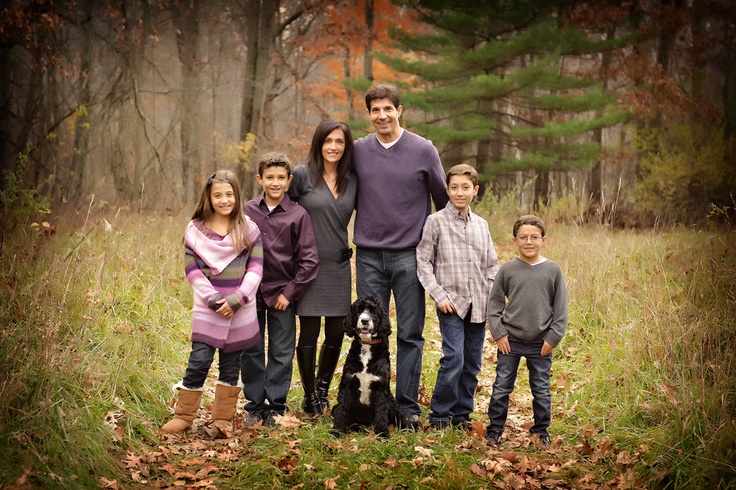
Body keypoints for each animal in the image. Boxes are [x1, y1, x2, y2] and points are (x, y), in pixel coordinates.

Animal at [330, 294, 416, 436]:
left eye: (374, 311)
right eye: (359, 310)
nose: (365, 320)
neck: (367, 346)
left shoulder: (381, 388)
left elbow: (381, 413)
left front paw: (382, 434)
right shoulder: (347, 384)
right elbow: (341, 410)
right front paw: (337, 431)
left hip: (392, 402)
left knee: (398, 417)